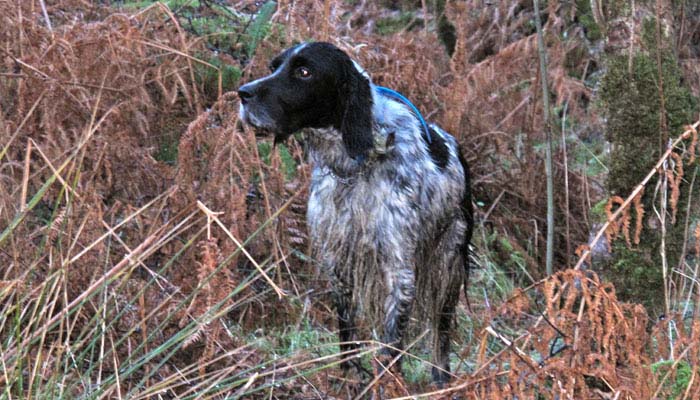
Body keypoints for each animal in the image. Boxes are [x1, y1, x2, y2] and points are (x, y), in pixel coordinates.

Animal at [238, 42, 474, 382]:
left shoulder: (399, 270)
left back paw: (442, 381)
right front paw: (348, 376)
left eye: (304, 71)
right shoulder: (338, 260)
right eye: (274, 66)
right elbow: (347, 330)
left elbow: (391, 344)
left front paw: (387, 384)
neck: (357, 165)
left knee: (441, 332)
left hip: (447, 263)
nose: (242, 93)